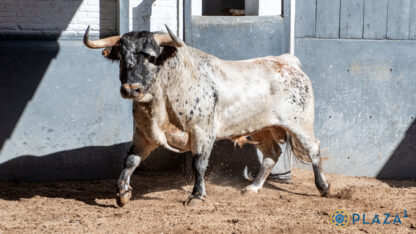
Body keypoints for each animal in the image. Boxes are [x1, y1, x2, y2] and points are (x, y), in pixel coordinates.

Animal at [83, 25, 332, 207]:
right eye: (122, 57)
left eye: (151, 56)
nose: (131, 89)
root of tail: (286, 61)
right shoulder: (144, 136)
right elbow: (130, 161)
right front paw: (123, 192)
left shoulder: (202, 133)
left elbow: (199, 164)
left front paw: (196, 195)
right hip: (260, 129)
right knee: (272, 154)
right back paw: (253, 188)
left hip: (300, 124)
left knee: (313, 149)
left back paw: (323, 187)